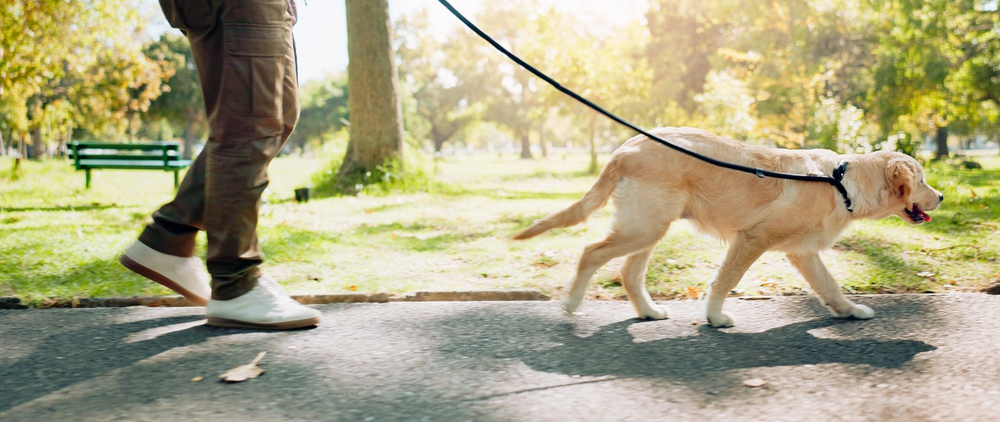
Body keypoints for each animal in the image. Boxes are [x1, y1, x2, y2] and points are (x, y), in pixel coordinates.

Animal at [516, 127, 944, 328]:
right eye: (922, 179)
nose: (940, 196)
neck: (840, 182)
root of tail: (626, 148)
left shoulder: (802, 252)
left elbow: (829, 285)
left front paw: (849, 310)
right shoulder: (752, 239)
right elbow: (725, 279)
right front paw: (715, 316)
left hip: (651, 226)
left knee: (628, 272)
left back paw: (649, 311)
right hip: (645, 226)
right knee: (592, 253)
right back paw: (572, 303)